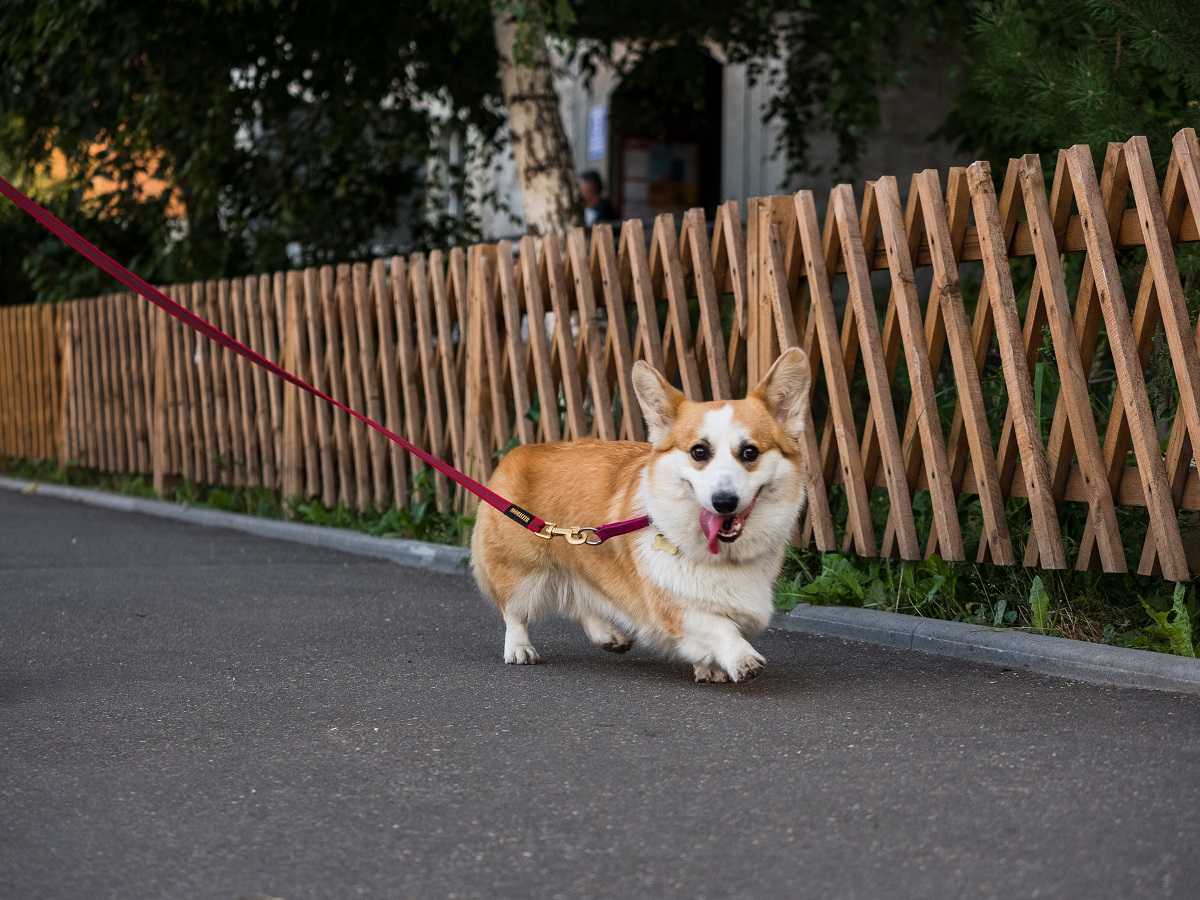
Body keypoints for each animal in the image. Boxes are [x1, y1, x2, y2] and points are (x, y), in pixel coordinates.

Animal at [472, 348, 811, 681]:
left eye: (750, 452)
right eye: (699, 451)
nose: (724, 501)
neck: (722, 555)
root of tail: (516, 454)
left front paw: (711, 668)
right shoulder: (669, 603)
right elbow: (718, 627)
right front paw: (742, 657)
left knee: (581, 600)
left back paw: (609, 635)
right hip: (519, 572)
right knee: (515, 611)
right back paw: (520, 649)